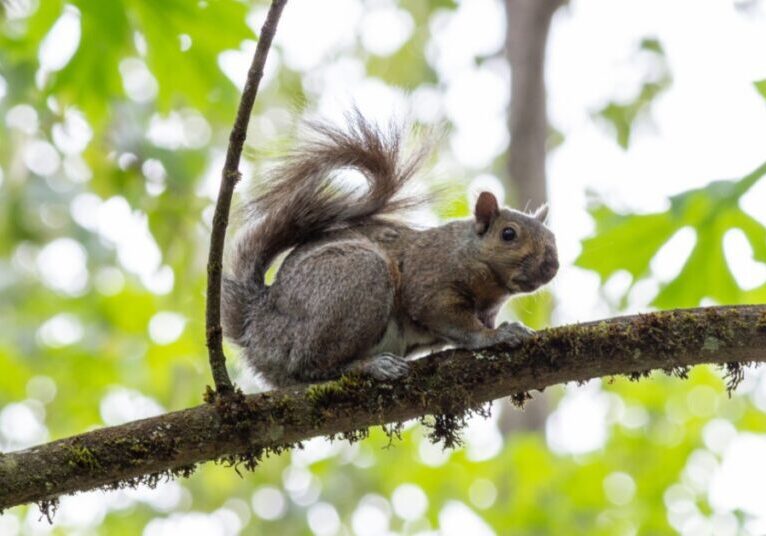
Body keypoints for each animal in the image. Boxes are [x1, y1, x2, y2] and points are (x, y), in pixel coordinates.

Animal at [221, 112, 559, 388]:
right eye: (508, 234)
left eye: (553, 237)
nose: (552, 265)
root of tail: (258, 326)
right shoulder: (430, 281)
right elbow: (455, 322)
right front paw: (496, 336)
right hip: (356, 278)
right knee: (310, 365)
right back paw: (372, 366)